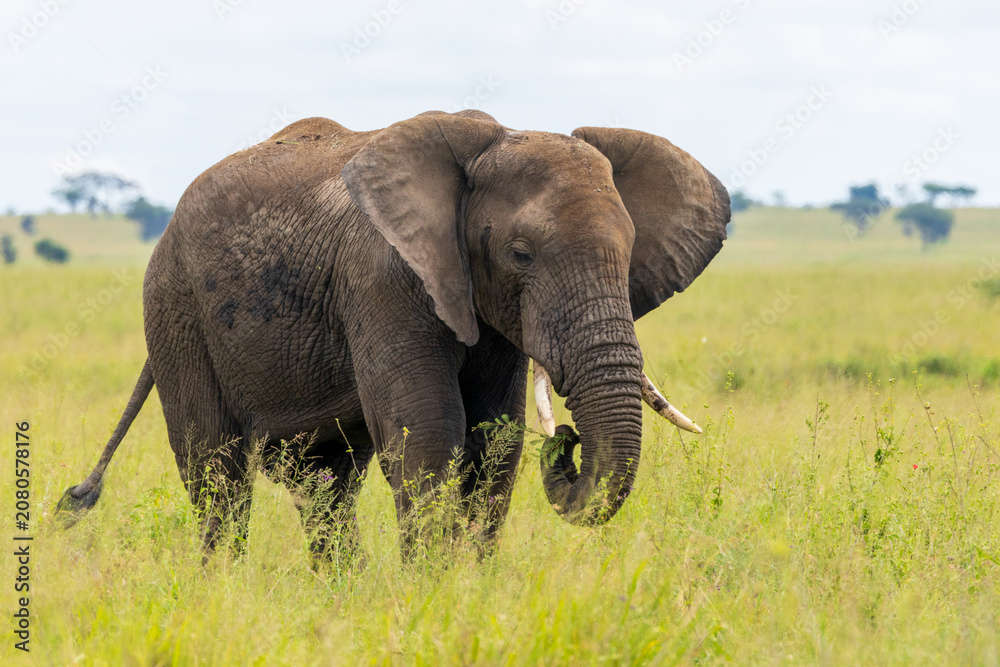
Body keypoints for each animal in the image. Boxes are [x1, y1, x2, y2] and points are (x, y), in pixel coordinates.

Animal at [57, 109, 729, 561]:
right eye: (520, 254)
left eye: (629, 252)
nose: (566, 440)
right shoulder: (383, 279)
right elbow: (429, 435)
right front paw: (431, 595)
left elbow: (496, 441)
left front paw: (472, 593)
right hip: (175, 309)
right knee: (216, 474)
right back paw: (223, 590)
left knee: (324, 485)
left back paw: (338, 599)